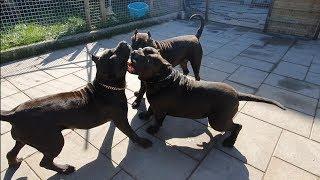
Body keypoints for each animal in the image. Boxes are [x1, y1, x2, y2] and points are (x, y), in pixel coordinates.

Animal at [0, 41, 152, 174]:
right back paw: (64, 169)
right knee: (45, 162)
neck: (107, 85)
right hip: (54, 141)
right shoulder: (121, 120)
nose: (123, 43)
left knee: (11, 153)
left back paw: (14, 163)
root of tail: (13, 114)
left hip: (25, 138)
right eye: (113, 55)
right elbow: (131, 133)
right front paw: (142, 142)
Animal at [127, 46, 284, 148]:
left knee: (237, 126)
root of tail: (237, 94)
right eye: (142, 49)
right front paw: (145, 116)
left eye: (147, 59)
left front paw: (153, 130)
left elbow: (158, 120)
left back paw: (230, 142)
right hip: (221, 119)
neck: (162, 79)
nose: (133, 51)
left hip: (217, 121)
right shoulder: (155, 105)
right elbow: (150, 110)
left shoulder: (161, 110)